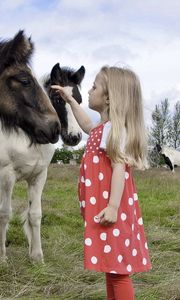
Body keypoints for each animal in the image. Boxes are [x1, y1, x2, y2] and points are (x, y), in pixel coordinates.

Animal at [0, 30, 84, 262]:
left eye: (80, 100)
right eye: (57, 98)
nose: (74, 137)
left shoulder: (38, 175)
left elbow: (35, 214)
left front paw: (37, 256)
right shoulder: (7, 176)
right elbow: (4, 214)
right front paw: (2, 257)